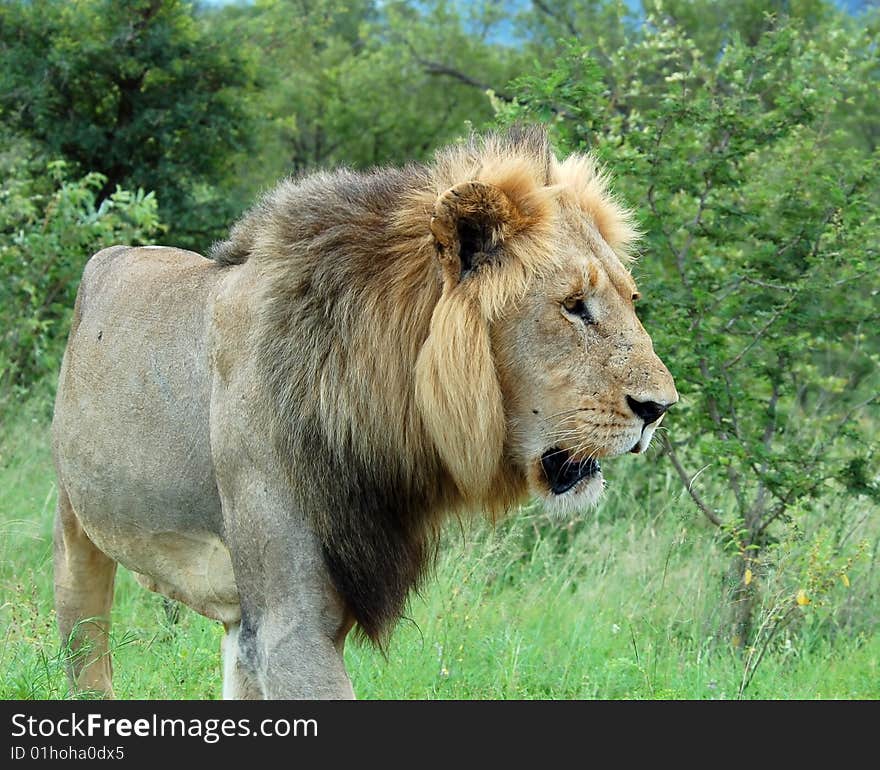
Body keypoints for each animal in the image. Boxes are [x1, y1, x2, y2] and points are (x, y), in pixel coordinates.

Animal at [51, 126, 676, 696]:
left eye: (631, 300)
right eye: (574, 306)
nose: (660, 408)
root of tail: (113, 254)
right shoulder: (290, 625)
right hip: (75, 533)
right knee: (86, 648)